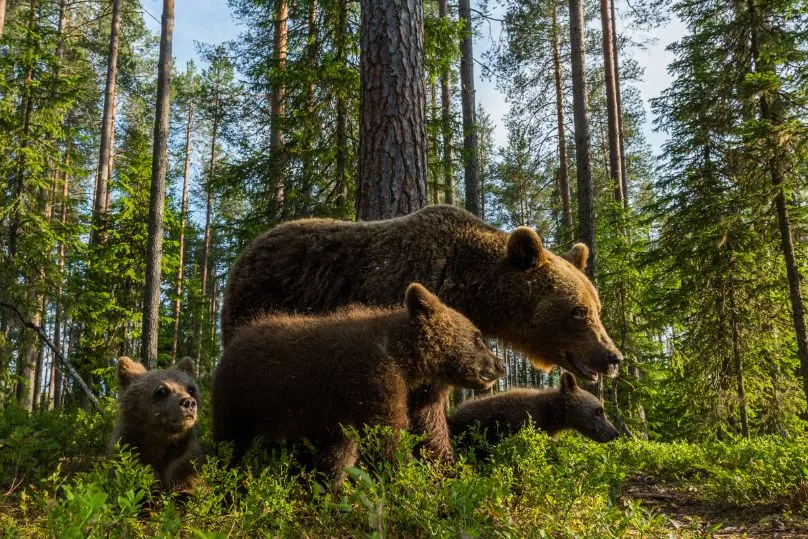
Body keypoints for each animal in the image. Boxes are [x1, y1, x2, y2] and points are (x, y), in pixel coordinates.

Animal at [218, 207, 620, 464]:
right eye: (578, 311)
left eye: (596, 307)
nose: (612, 356)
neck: (465, 285)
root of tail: (247, 250)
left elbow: (428, 405)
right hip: (259, 310)